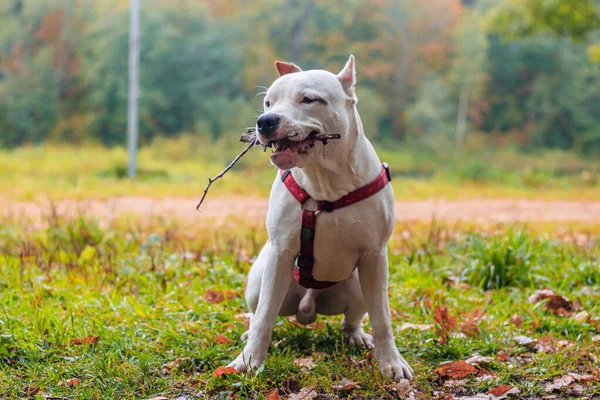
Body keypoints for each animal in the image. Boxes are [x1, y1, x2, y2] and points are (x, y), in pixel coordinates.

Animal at [227, 54, 414, 380]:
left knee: (354, 317)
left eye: (309, 99)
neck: (326, 181)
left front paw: (391, 362)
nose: (265, 121)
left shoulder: (375, 255)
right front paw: (250, 360)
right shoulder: (280, 252)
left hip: (359, 282)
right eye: (268, 102)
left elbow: (382, 316)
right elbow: (264, 316)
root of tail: (307, 308)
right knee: (258, 308)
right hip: (260, 278)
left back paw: (356, 336)